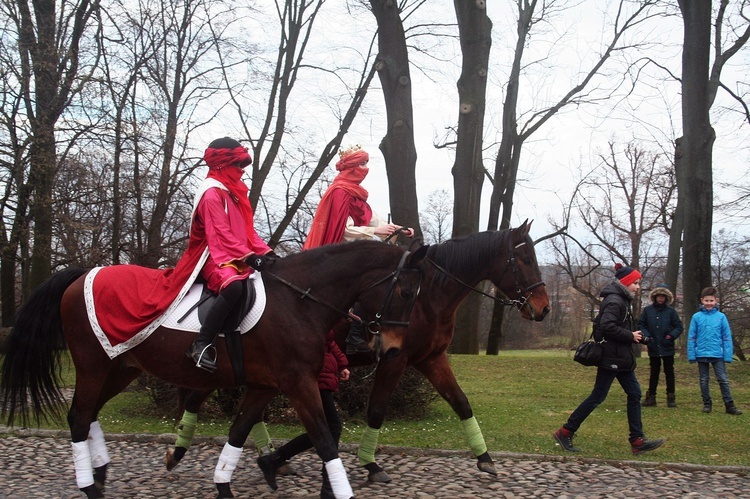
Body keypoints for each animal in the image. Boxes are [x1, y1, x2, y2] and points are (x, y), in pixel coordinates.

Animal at [0, 240, 426, 498]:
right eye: (406, 293)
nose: (392, 349)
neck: (298, 300)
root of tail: (83, 275)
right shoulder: (298, 383)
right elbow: (323, 439)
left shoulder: (264, 387)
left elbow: (238, 433)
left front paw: (223, 484)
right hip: (93, 366)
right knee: (77, 416)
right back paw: (89, 485)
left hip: (120, 368)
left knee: (89, 414)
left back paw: (101, 475)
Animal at [166, 221, 552, 494]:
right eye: (525, 259)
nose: (544, 308)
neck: (428, 296)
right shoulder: (396, 359)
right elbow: (377, 410)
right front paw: (371, 464)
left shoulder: (432, 359)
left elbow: (461, 403)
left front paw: (485, 459)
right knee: (198, 396)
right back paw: (179, 451)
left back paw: (269, 459)